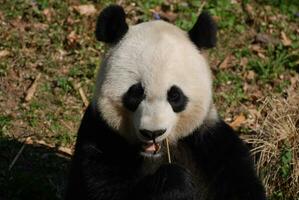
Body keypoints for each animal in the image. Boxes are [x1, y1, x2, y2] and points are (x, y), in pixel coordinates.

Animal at [66, 4, 268, 200]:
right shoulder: (101, 135)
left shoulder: (209, 143)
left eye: (175, 96)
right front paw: (175, 181)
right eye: (136, 93)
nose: (153, 133)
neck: (156, 153)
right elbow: (99, 189)